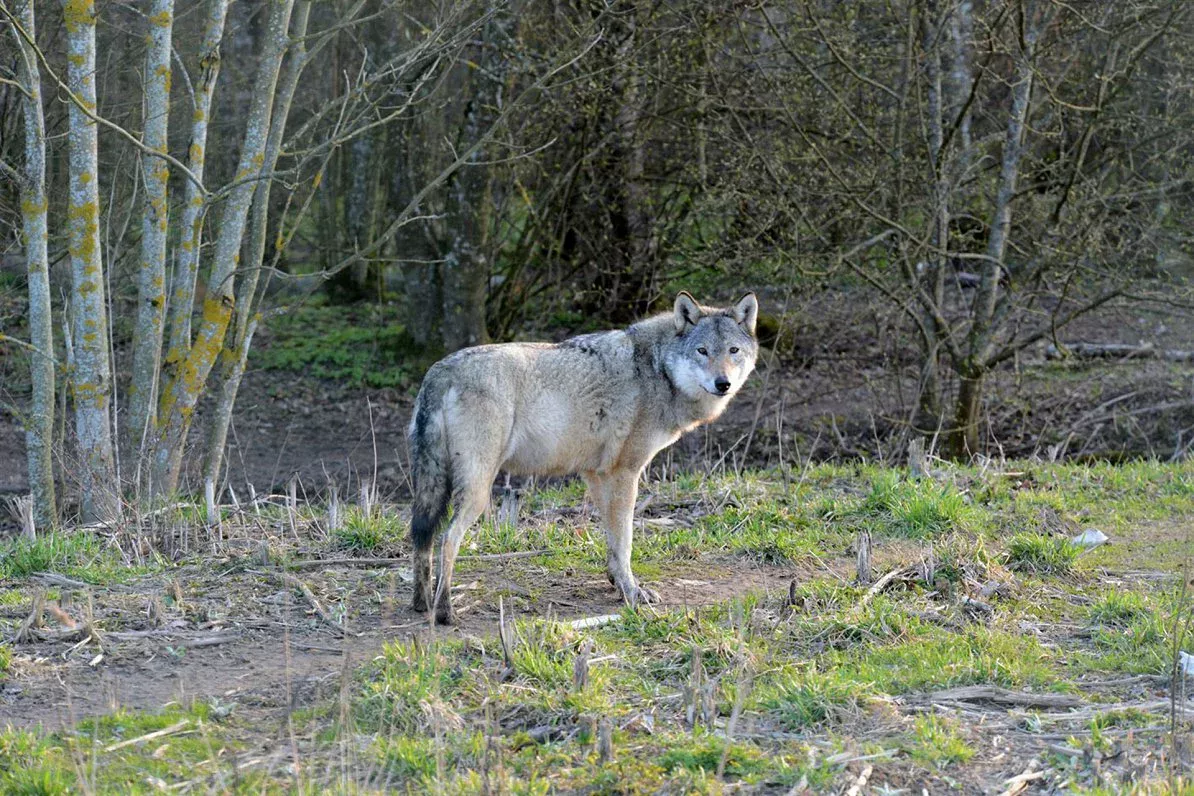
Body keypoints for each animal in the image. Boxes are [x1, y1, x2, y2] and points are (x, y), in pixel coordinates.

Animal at [403, 289, 754, 625]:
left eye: (733, 351)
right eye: (702, 351)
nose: (723, 383)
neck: (657, 371)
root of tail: (439, 371)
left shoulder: (596, 474)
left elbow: (612, 540)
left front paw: (616, 582)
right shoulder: (625, 473)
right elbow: (625, 541)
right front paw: (633, 592)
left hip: (433, 490)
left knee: (422, 539)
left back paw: (422, 603)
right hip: (478, 492)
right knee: (447, 538)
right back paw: (445, 612)